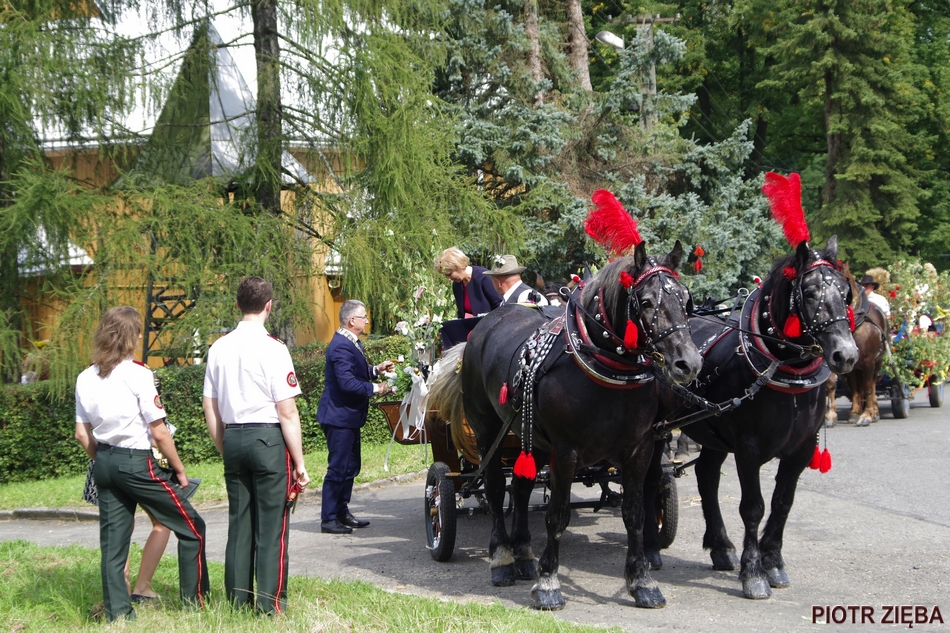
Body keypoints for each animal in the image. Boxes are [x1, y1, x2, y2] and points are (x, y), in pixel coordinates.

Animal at [428, 241, 703, 610]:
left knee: (521, 487)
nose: (689, 363)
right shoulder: (566, 452)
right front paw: (548, 584)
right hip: (488, 430)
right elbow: (557, 516)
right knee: (496, 487)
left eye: (686, 300)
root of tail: (484, 327)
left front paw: (641, 581)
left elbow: (634, 513)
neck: (604, 367)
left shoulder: (640, 449)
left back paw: (523, 554)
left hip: (532, 437)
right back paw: (502, 559)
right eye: (646, 302)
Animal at [644, 236, 858, 600]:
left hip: (713, 431)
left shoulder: (800, 450)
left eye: (845, 293)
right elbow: (753, 507)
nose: (846, 354)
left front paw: (773, 562)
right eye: (810, 292)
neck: (781, 369)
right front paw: (754, 572)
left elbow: (783, 503)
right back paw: (652, 548)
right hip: (658, 431)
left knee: (706, 475)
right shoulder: (748, 449)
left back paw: (720, 546)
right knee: (651, 479)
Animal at [824, 266, 889, 427]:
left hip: (878, 362)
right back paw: (854, 412)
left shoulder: (869, 361)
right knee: (855, 386)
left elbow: (868, 386)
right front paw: (830, 415)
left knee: (872, 384)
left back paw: (874, 412)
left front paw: (866, 416)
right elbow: (831, 383)